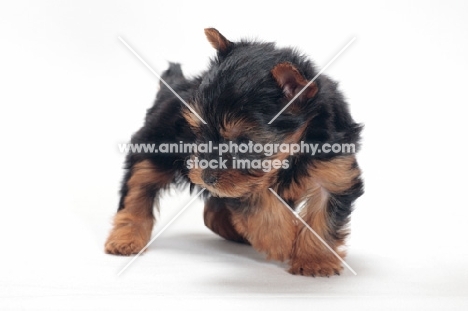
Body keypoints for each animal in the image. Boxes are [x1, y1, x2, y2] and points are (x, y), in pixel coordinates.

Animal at [104, 28, 364, 278]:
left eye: (243, 144)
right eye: (199, 132)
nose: (206, 178)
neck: (293, 151)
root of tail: (171, 89)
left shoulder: (334, 170)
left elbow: (324, 215)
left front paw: (315, 261)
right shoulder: (243, 183)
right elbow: (260, 206)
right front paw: (279, 240)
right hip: (152, 146)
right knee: (138, 190)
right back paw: (125, 238)